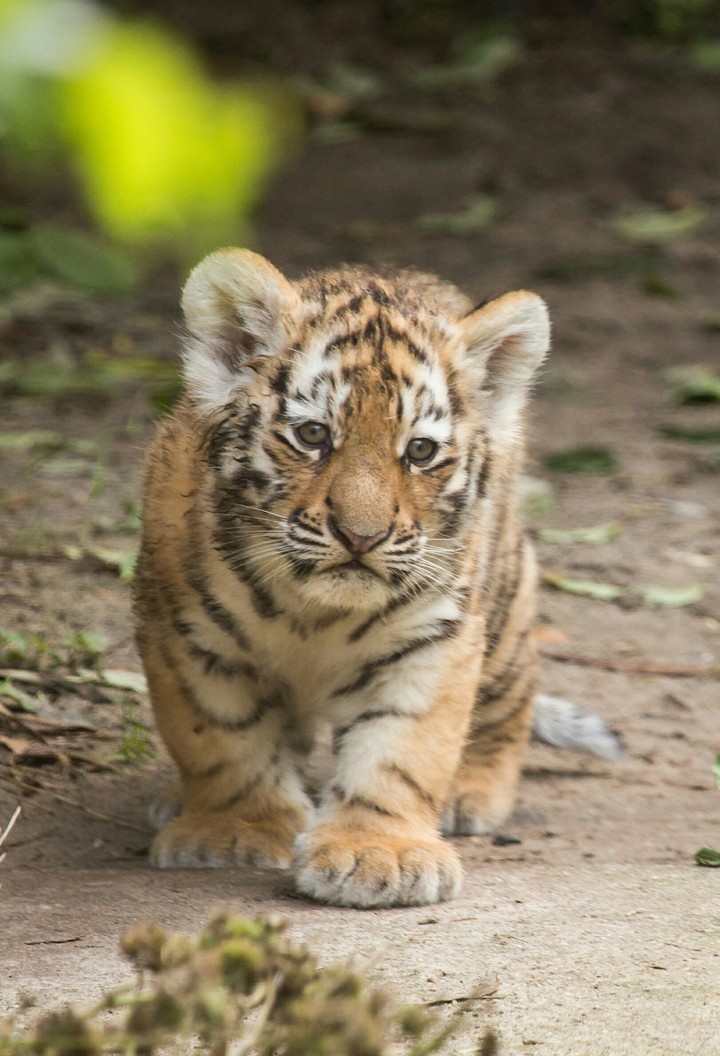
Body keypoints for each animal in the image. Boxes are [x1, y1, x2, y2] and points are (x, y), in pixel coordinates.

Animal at [133, 248, 619, 908]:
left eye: (419, 451)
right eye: (313, 435)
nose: (361, 536)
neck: (313, 613)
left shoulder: (432, 639)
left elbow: (400, 751)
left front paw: (377, 852)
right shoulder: (187, 635)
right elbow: (223, 741)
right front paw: (235, 832)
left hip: (505, 607)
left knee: (509, 701)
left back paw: (471, 790)